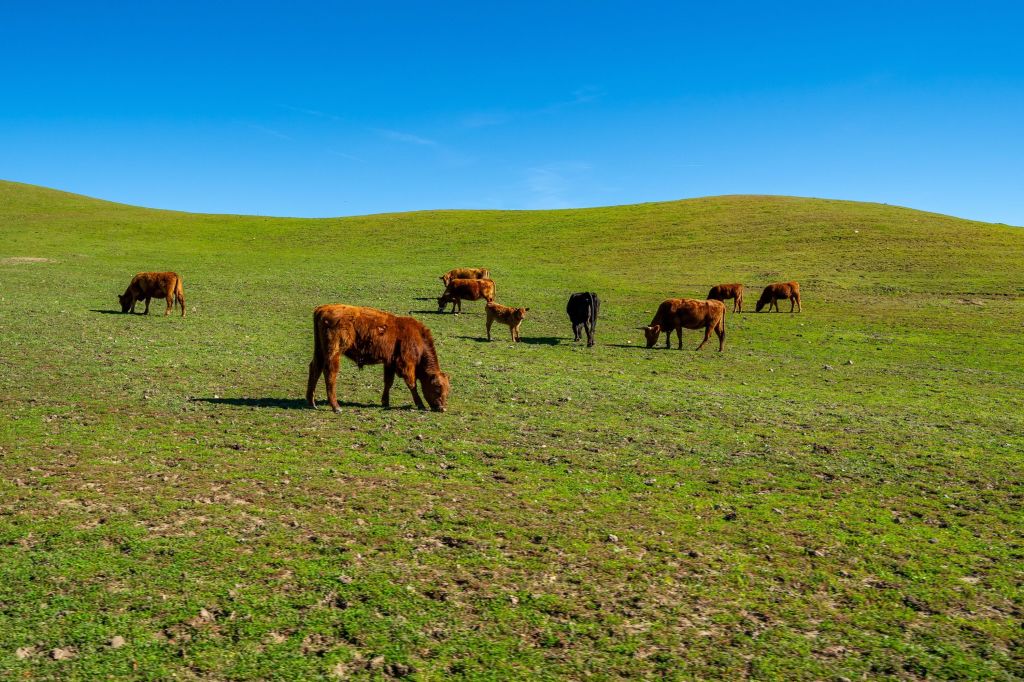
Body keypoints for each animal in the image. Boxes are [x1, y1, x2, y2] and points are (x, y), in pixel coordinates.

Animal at [307, 304, 450, 413]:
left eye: (448, 390)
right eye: (437, 388)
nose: (442, 408)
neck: (417, 338)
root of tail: (323, 309)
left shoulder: (390, 363)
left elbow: (388, 382)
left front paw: (385, 402)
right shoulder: (406, 364)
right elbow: (412, 384)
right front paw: (420, 404)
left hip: (320, 351)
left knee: (315, 368)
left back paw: (311, 402)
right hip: (334, 352)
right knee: (330, 373)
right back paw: (336, 407)